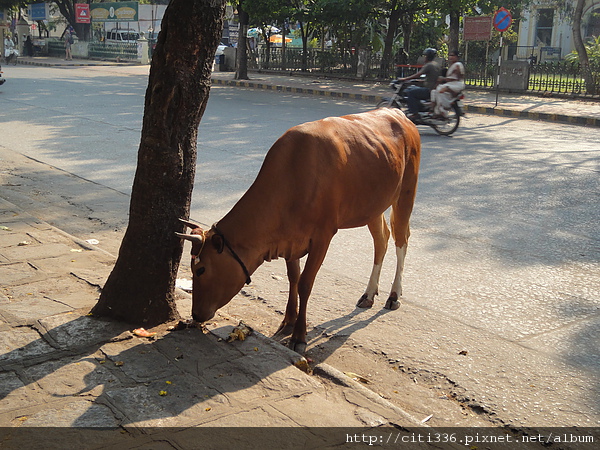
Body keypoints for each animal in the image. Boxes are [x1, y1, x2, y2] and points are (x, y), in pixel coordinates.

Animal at [178, 107, 420, 354]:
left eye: (201, 270)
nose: (196, 314)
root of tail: (396, 112)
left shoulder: (323, 236)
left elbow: (305, 283)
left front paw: (299, 336)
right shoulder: (290, 238)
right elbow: (293, 277)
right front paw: (288, 321)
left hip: (406, 192)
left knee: (401, 240)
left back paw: (394, 295)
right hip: (373, 206)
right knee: (382, 240)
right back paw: (369, 294)